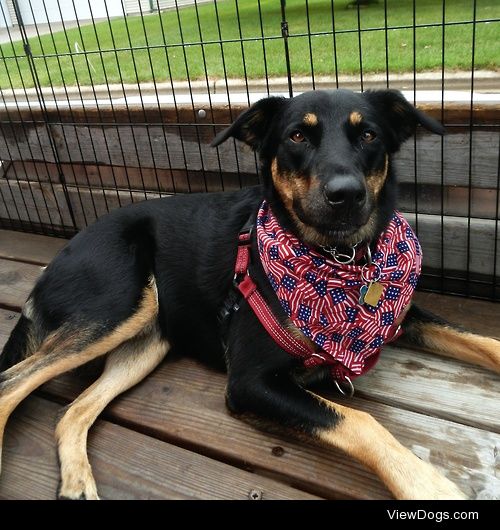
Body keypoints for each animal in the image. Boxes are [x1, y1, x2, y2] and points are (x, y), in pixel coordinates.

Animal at [0, 88, 500, 498]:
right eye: (297, 136)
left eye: (368, 134)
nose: (346, 194)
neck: (341, 263)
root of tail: (54, 261)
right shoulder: (249, 382)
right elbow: (361, 420)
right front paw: (428, 487)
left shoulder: (402, 311)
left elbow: (484, 341)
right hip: (118, 303)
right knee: (11, 383)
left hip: (146, 340)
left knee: (71, 412)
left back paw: (78, 486)